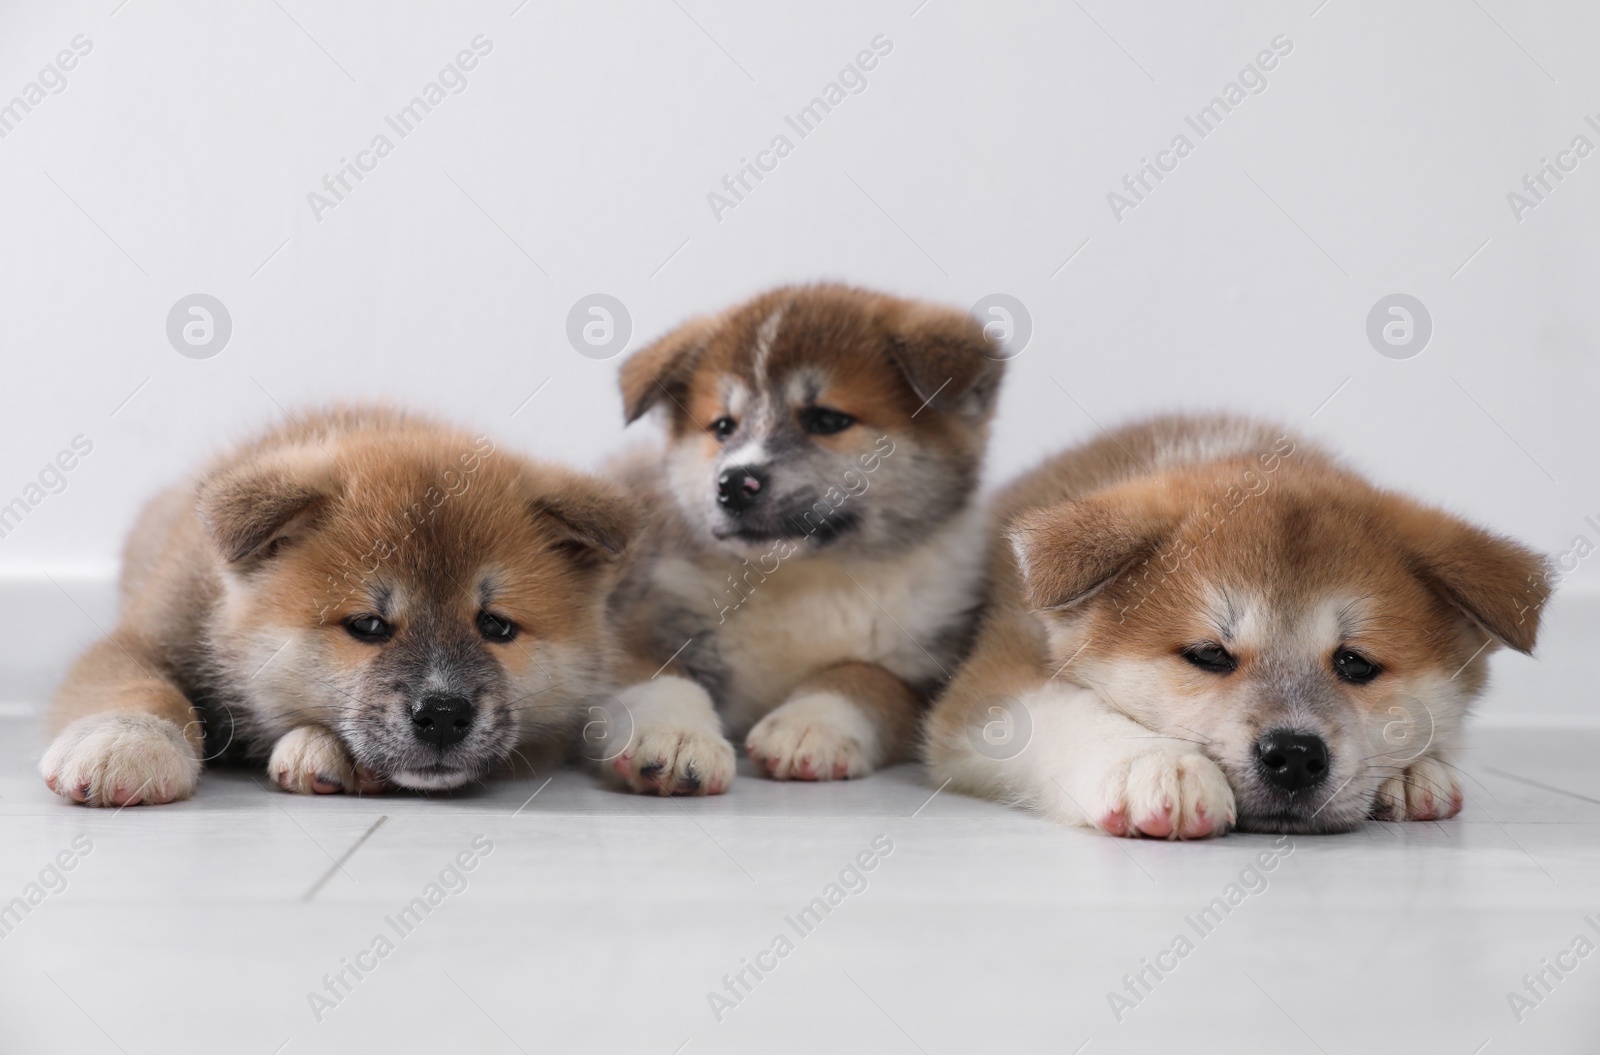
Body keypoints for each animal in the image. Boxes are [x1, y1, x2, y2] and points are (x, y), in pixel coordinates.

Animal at [39, 408, 636, 803]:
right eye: (368, 625)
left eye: (495, 625)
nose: (444, 715)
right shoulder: (148, 634)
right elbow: (139, 684)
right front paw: (127, 740)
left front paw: (329, 750)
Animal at [595, 284, 1004, 797]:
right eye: (723, 426)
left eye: (826, 420)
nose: (734, 483)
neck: (803, 578)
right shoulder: (635, 627)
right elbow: (659, 682)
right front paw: (674, 735)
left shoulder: (931, 675)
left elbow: (866, 676)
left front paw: (811, 723)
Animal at [928, 416, 1548, 838]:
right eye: (1209, 654)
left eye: (1355, 662)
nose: (1294, 755)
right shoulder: (991, 689)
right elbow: (1066, 708)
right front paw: (1152, 762)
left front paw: (1414, 772)